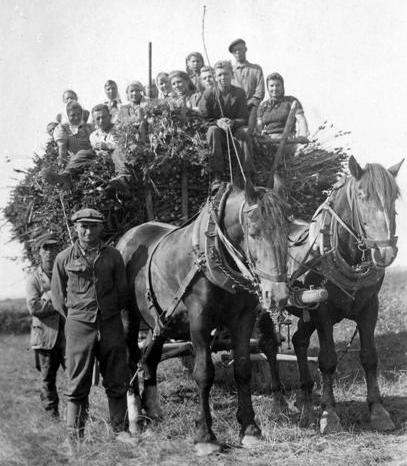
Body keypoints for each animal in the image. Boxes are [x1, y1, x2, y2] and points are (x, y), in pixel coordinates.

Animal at [116, 183, 290, 456]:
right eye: (253, 232)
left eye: (287, 233)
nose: (277, 294)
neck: (215, 253)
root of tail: (129, 236)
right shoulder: (199, 322)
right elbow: (204, 373)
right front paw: (205, 436)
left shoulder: (243, 319)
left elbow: (243, 369)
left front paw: (250, 429)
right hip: (127, 318)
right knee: (131, 358)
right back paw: (135, 419)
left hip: (160, 321)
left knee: (151, 358)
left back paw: (153, 411)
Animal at [256, 156, 404, 434]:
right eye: (362, 196)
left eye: (395, 197)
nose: (385, 252)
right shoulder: (323, 313)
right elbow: (327, 360)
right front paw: (329, 414)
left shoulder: (369, 308)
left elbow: (370, 357)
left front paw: (378, 411)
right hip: (265, 306)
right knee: (268, 345)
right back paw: (279, 402)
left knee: (300, 342)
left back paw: (304, 401)